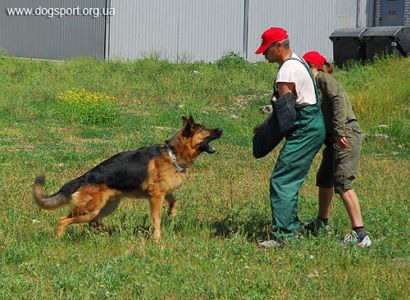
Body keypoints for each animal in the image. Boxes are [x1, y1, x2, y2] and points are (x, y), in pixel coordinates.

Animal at [33, 116, 223, 240]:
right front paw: (157, 238)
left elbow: (175, 201)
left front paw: (172, 213)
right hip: (91, 209)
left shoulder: (164, 192)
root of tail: (82, 179)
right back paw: (58, 238)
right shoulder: (156, 197)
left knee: (93, 222)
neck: (173, 154)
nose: (221, 129)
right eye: (204, 129)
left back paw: (109, 231)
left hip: (107, 206)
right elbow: (156, 218)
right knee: (64, 220)